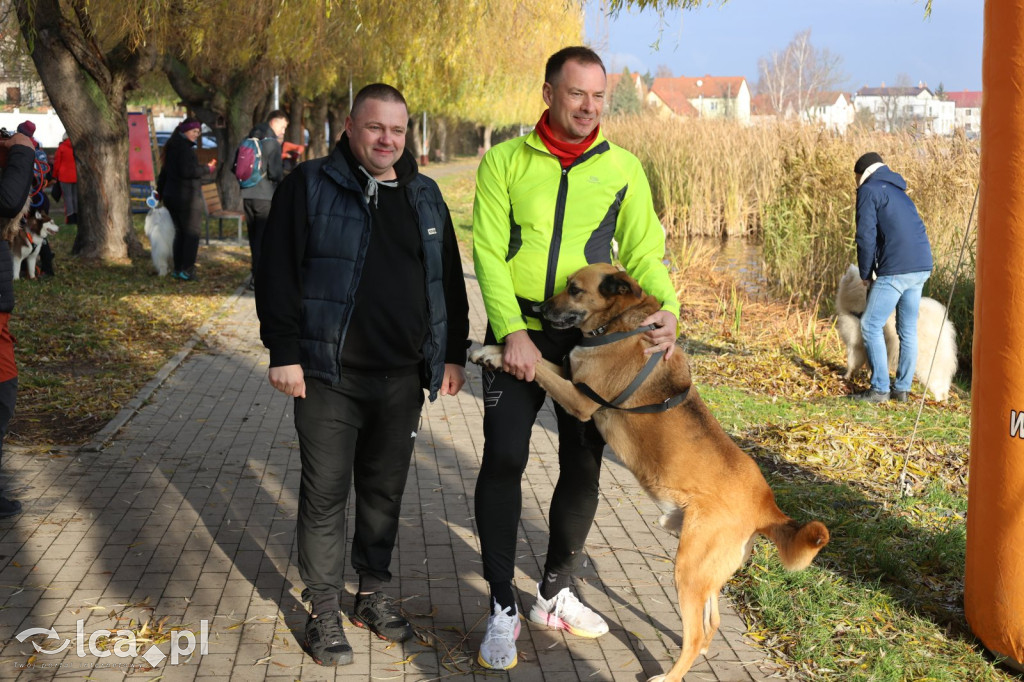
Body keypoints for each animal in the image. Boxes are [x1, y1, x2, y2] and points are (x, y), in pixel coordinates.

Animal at [471, 261, 831, 679]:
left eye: (575, 290)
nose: (538, 309)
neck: (621, 325)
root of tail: (767, 505)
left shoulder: (580, 399)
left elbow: (539, 369)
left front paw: (496, 354)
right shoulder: (569, 376)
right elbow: (537, 361)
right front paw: (490, 350)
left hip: (688, 570)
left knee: (696, 633)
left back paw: (670, 674)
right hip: (705, 573)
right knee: (712, 623)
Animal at [835, 261, 954, 399]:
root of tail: (943, 325)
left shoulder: (855, 345)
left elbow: (852, 363)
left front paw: (845, 376)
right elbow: (871, 366)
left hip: (929, 363)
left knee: (938, 382)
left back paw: (938, 399)